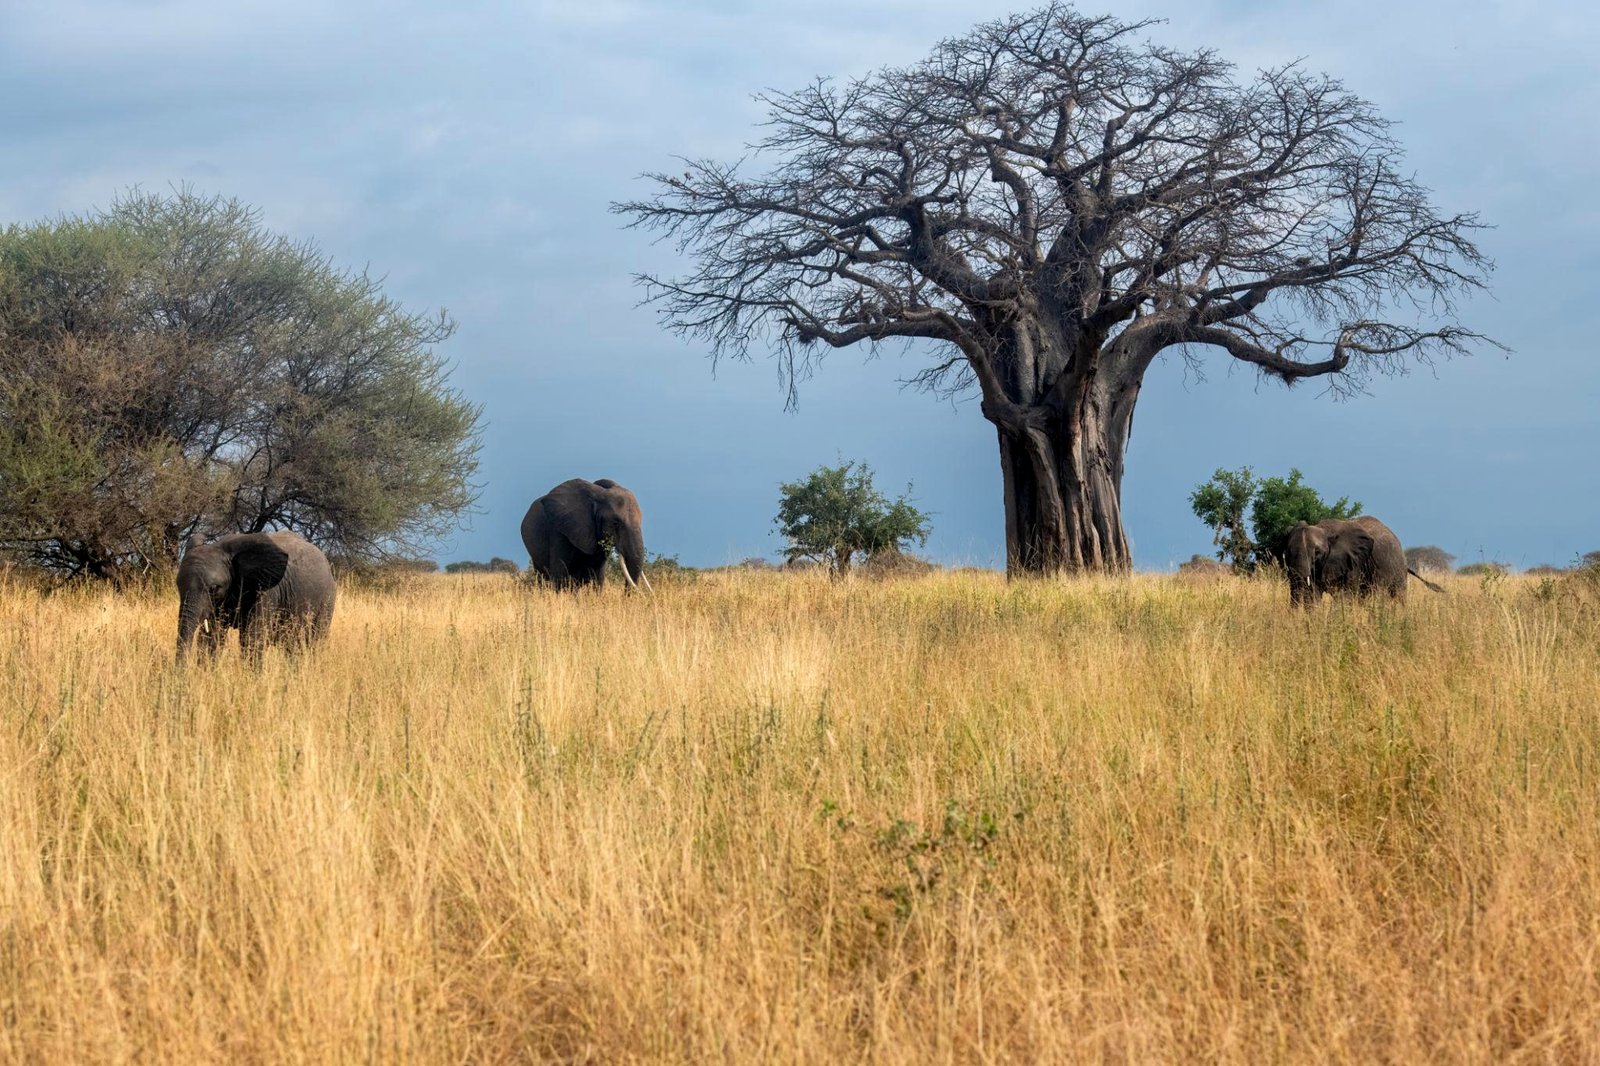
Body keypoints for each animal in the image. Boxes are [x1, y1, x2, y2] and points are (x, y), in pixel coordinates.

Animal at [175, 530, 336, 661]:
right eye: (178, 586)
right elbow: (212, 637)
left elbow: (251, 639)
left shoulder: (265, 591)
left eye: (214, 588)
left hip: (327, 598)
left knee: (314, 639)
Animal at [1284, 515, 1443, 607]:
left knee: (1397, 596)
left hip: (1397, 567)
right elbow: (1314, 594)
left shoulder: (1353, 563)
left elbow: (1345, 596)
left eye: (1317, 553)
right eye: (1287, 552)